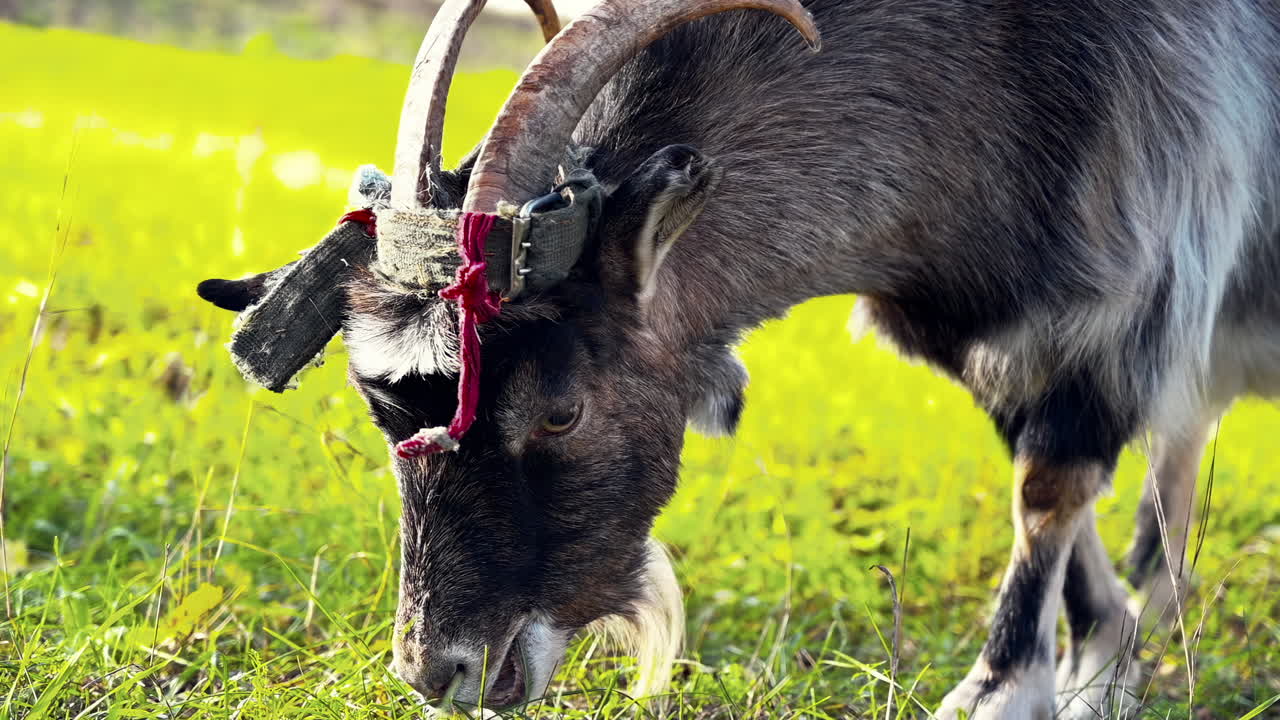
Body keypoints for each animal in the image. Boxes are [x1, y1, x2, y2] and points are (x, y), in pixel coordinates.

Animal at [197, 0, 1280, 717]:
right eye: (382, 410)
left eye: (560, 408)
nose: (438, 672)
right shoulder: (1001, 332)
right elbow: (1058, 485)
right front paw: (1107, 653)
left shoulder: (1125, 292)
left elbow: (1049, 490)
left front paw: (1005, 685)